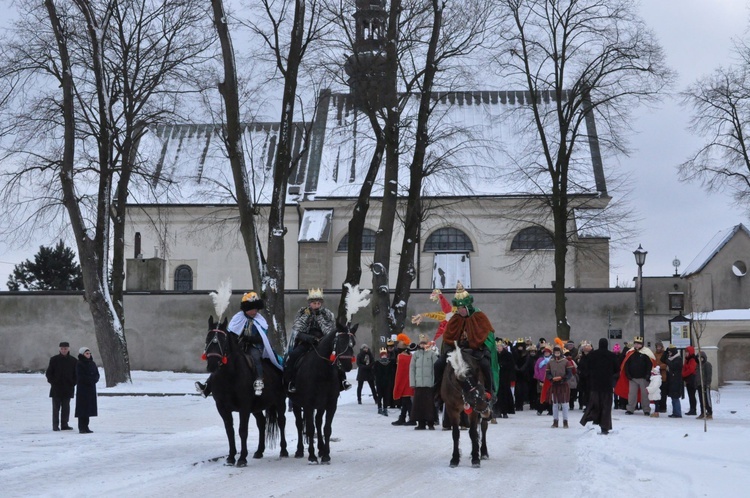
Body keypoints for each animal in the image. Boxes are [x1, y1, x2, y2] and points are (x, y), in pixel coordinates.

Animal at [203, 318, 288, 464]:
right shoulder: (222, 407)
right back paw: (259, 451)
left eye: (223, 340)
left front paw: (242, 458)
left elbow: (242, 430)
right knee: (261, 423)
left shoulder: (244, 406)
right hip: (256, 407)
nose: (212, 364)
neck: (229, 376)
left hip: (279, 401)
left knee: (281, 421)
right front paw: (231, 457)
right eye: (208, 338)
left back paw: (283, 450)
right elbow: (229, 431)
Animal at [288, 320, 358, 464]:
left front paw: (326, 455)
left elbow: (326, 428)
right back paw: (300, 451)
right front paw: (312, 456)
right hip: (296, 404)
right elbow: (310, 429)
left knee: (318, 422)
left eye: (353, 343)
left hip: (320, 406)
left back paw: (320, 449)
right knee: (299, 425)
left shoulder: (331, 404)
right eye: (341, 341)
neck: (321, 371)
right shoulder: (308, 405)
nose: (348, 365)